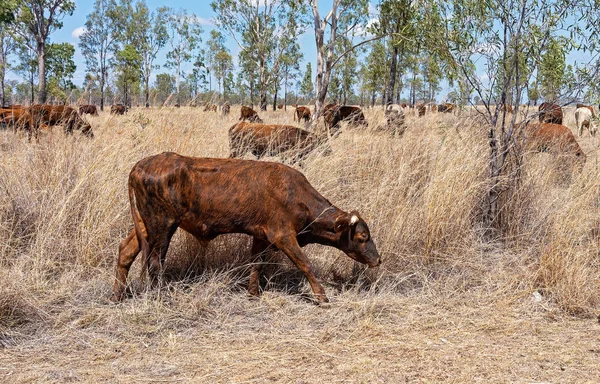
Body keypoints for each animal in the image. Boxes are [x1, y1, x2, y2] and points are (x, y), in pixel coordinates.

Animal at [112, 152, 380, 304]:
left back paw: (117, 295)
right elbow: (305, 264)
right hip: (162, 227)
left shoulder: (261, 236)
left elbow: (256, 264)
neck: (294, 193)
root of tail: (140, 165)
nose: (378, 259)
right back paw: (160, 295)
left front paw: (253, 294)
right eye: (362, 236)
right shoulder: (283, 236)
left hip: (145, 227)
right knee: (155, 263)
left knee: (126, 252)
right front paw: (322, 297)